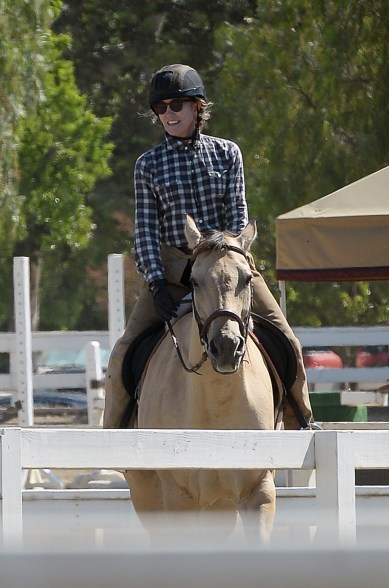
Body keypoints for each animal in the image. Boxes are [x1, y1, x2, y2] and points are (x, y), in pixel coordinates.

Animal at [124, 215, 276, 544]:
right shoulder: (179, 498)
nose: (226, 347)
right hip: (149, 497)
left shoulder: (257, 490)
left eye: (247, 279)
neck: (216, 400)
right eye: (194, 281)